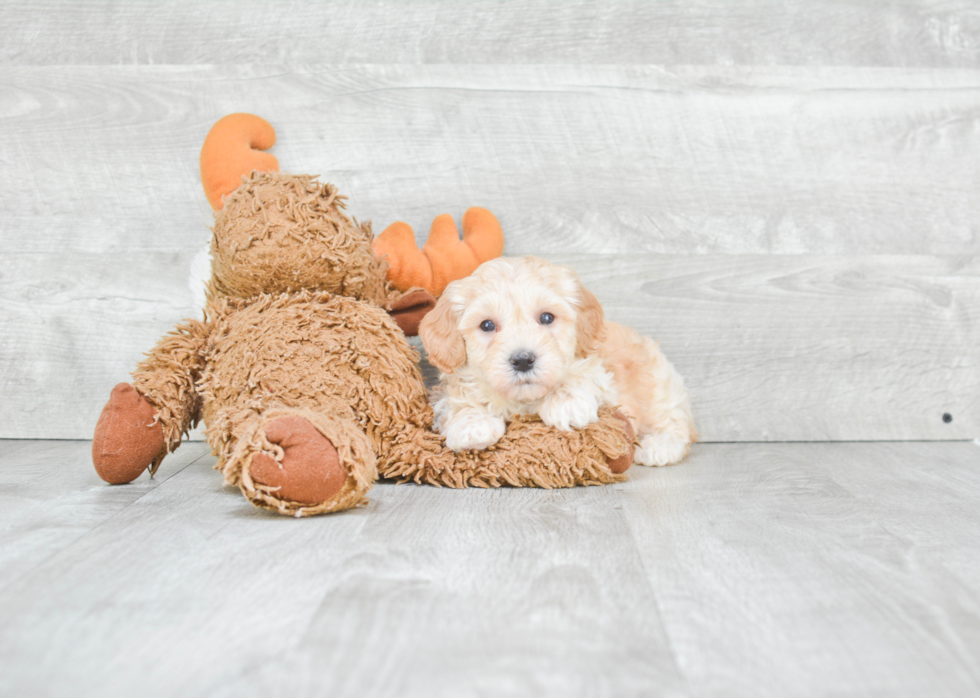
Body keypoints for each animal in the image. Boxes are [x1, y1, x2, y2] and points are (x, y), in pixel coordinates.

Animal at [420, 254, 696, 462]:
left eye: (546, 318)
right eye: (487, 325)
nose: (523, 360)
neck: (524, 401)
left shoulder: (603, 378)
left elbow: (582, 375)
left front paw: (566, 403)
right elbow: (457, 397)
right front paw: (471, 425)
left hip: (658, 385)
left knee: (674, 420)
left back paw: (659, 446)